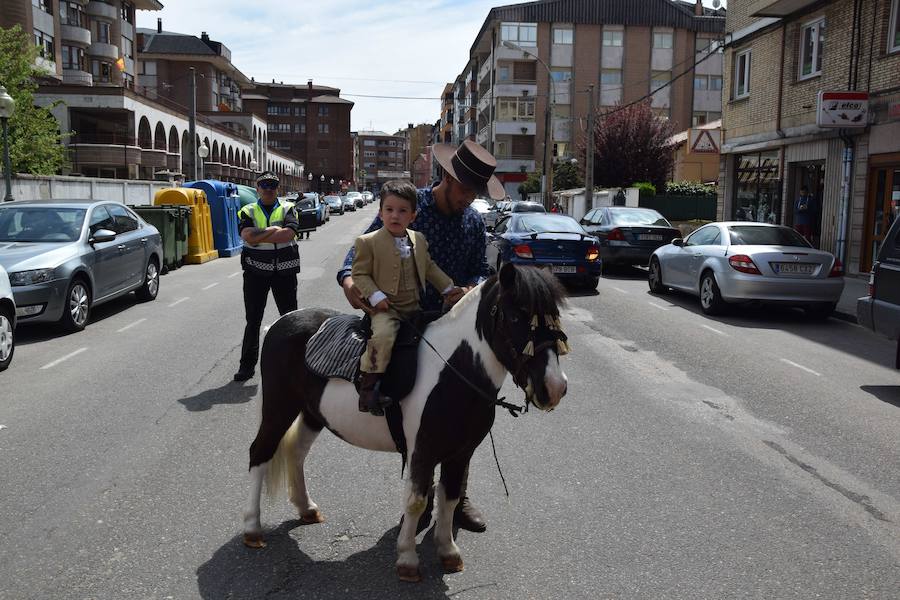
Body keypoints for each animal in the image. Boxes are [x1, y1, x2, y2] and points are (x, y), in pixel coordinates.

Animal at [241, 264, 568, 584]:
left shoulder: (460, 454)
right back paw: (252, 528)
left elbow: (449, 498)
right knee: (260, 453)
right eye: (515, 316)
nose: (555, 388)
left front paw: (448, 551)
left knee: (296, 452)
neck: (452, 370)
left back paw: (306, 508)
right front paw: (408, 560)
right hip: (278, 408)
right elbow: (416, 502)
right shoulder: (422, 452)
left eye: (555, 317)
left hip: (311, 413)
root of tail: (279, 323)